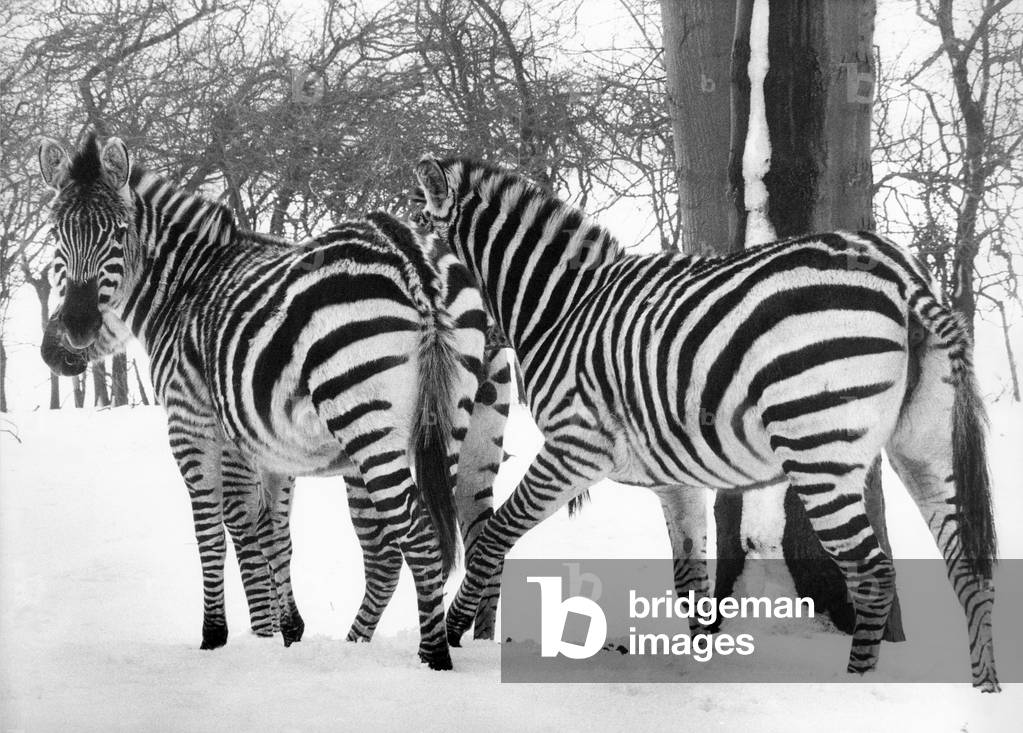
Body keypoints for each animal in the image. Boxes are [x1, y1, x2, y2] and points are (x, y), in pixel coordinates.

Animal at [37, 131, 491, 670]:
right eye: (56, 233)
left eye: (118, 233)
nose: (70, 333)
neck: (187, 285)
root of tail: (413, 261)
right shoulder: (267, 444)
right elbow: (274, 533)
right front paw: (287, 632)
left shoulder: (192, 424)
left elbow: (216, 530)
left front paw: (219, 636)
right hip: (448, 421)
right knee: (430, 536)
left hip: (366, 421)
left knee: (418, 536)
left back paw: (433, 656)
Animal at [413, 156, 1000, 691]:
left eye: (415, 224)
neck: (562, 309)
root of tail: (896, 269)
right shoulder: (675, 479)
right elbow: (690, 579)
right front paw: (699, 670)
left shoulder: (575, 447)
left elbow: (493, 536)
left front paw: (449, 637)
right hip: (924, 447)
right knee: (968, 567)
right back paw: (986, 690)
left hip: (819, 450)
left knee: (873, 573)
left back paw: (858, 684)